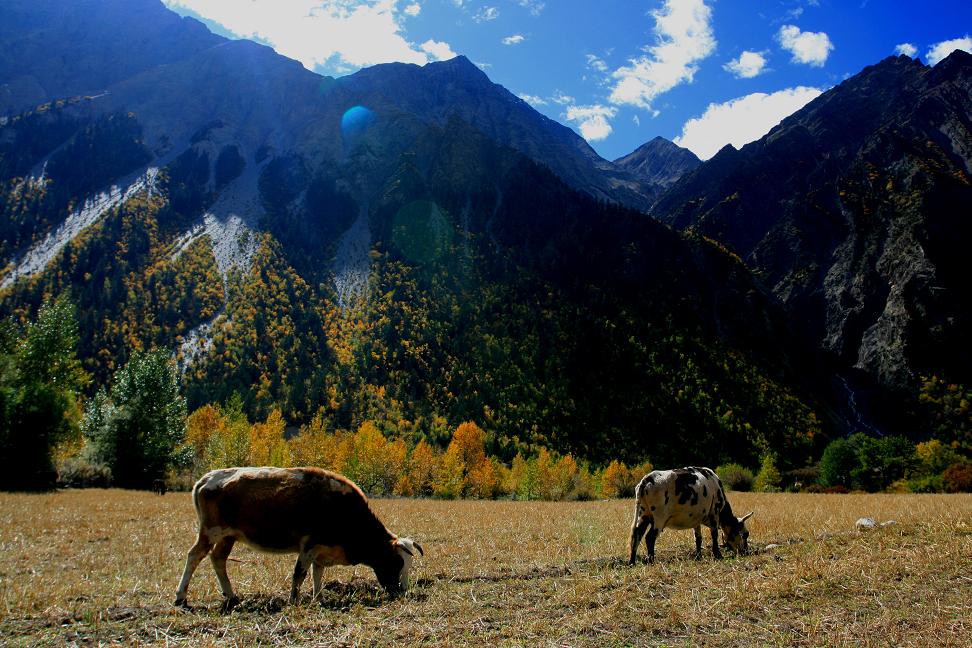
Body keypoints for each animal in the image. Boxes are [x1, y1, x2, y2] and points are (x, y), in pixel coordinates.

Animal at [174, 466, 422, 608]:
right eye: (397, 562)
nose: (402, 590)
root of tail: (206, 479)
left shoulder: (322, 550)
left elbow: (317, 575)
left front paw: (318, 598)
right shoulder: (309, 545)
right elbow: (299, 574)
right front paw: (294, 600)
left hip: (228, 536)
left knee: (218, 559)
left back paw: (232, 596)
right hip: (210, 531)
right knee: (194, 556)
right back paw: (181, 597)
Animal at [628, 464, 756, 564]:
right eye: (745, 534)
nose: (746, 552)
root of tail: (646, 480)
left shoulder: (696, 520)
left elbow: (698, 538)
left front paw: (698, 556)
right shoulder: (714, 513)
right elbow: (714, 534)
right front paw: (717, 555)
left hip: (643, 515)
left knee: (637, 534)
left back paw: (632, 561)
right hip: (659, 518)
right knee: (649, 537)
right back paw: (651, 560)